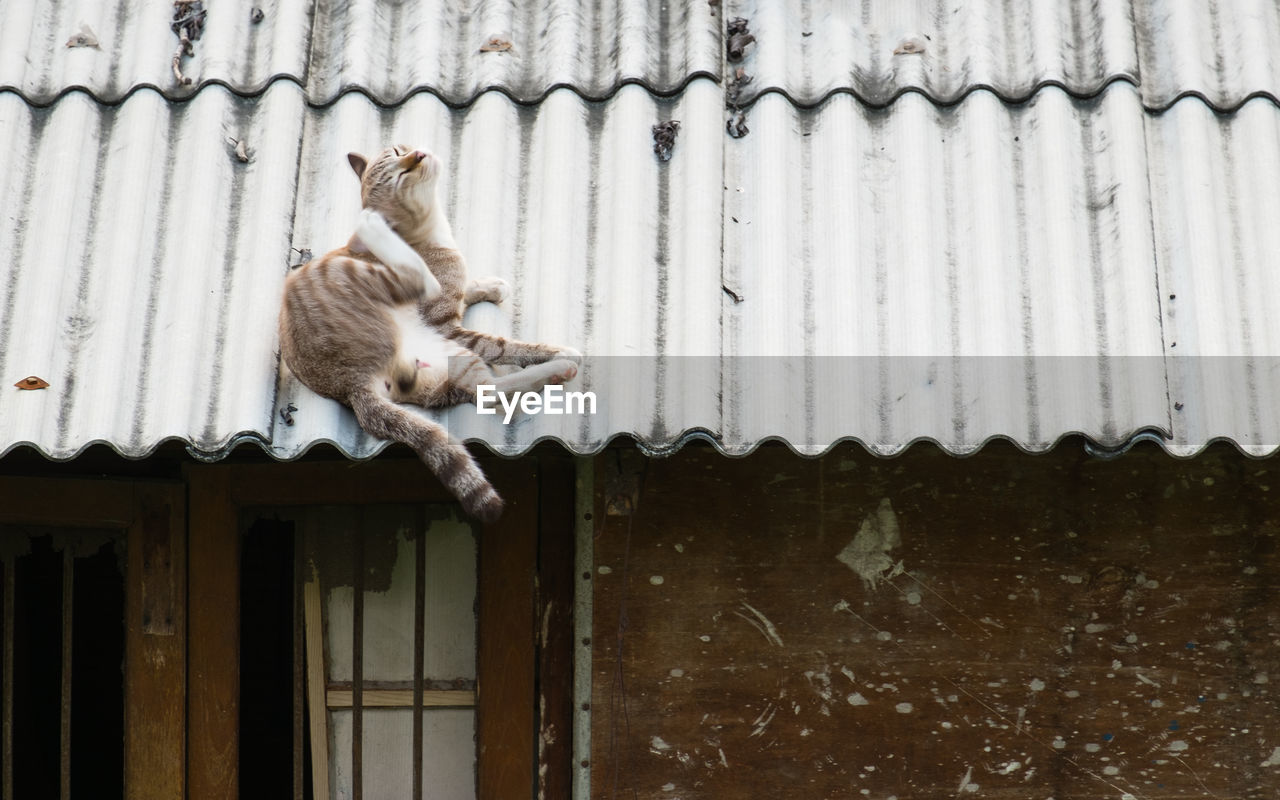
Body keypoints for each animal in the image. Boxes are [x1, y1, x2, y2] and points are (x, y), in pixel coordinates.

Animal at [281, 144, 586, 522]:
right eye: (400, 175)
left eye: (399, 149)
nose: (418, 154)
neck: (432, 233)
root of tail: (351, 388)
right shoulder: (449, 327)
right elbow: (505, 346)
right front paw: (553, 350)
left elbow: (468, 288)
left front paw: (490, 286)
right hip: (434, 332)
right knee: (489, 390)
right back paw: (563, 364)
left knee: (485, 392)